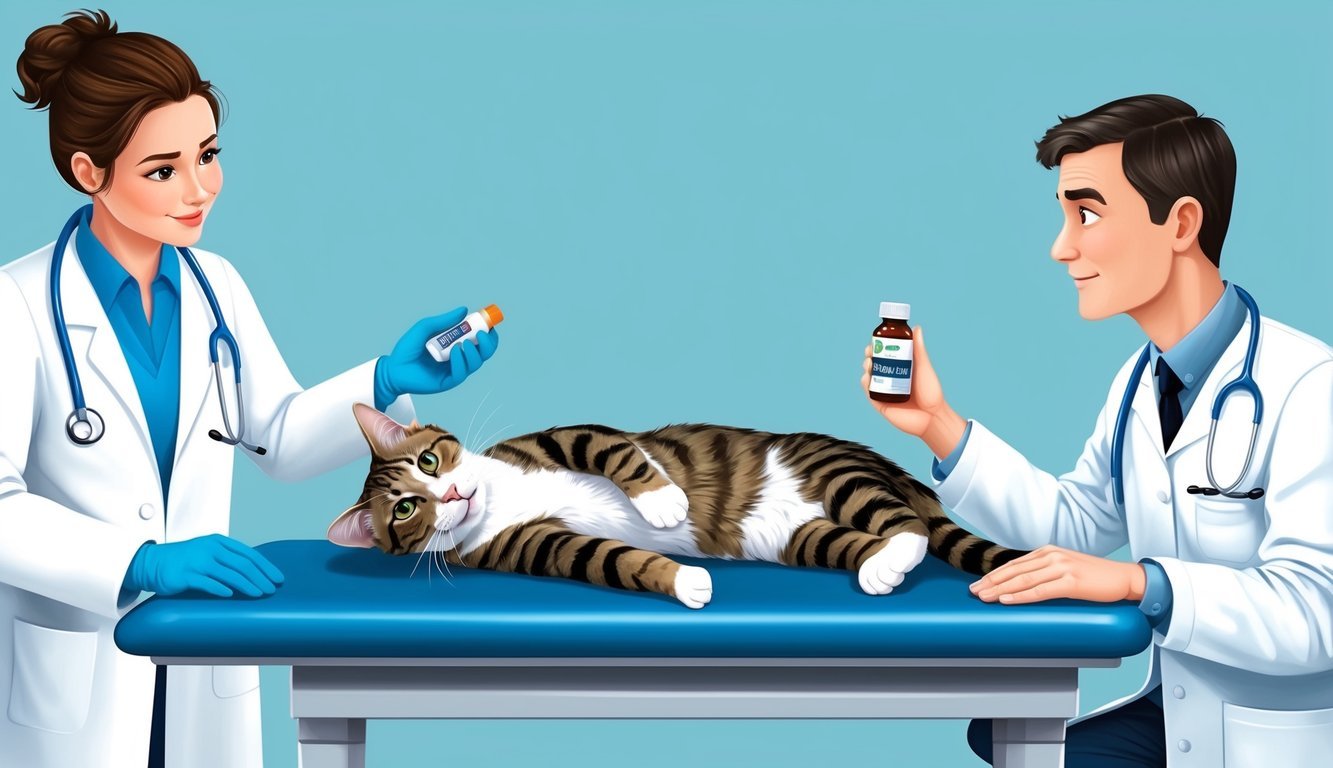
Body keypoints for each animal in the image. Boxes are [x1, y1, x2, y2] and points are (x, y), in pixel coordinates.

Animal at [327, 405, 1023, 608]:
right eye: (404, 513)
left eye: (428, 462)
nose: (450, 495)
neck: (499, 503)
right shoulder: (538, 546)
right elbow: (614, 560)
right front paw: (688, 581)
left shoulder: (564, 438)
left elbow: (613, 451)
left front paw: (663, 502)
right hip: (804, 537)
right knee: (873, 539)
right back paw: (882, 566)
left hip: (834, 474)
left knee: (907, 524)